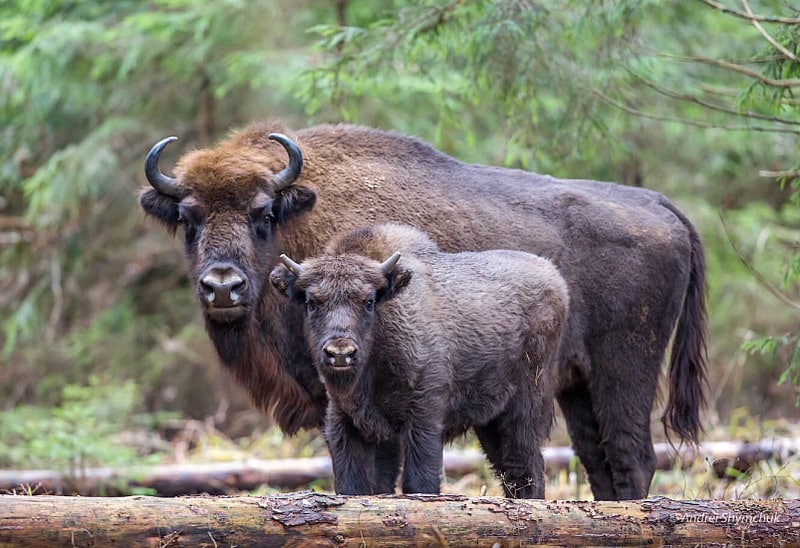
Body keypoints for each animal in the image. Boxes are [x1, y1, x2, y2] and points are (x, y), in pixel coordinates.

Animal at [269, 223, 569, 497]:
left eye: (368, 301)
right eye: (311, 303)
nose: (340, 352)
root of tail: (556, 280)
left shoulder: (424, 416)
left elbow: (419, 483)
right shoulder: (348, 422)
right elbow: (357, 486)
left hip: (526, 409)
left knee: (526, 467)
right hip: (490, 421)